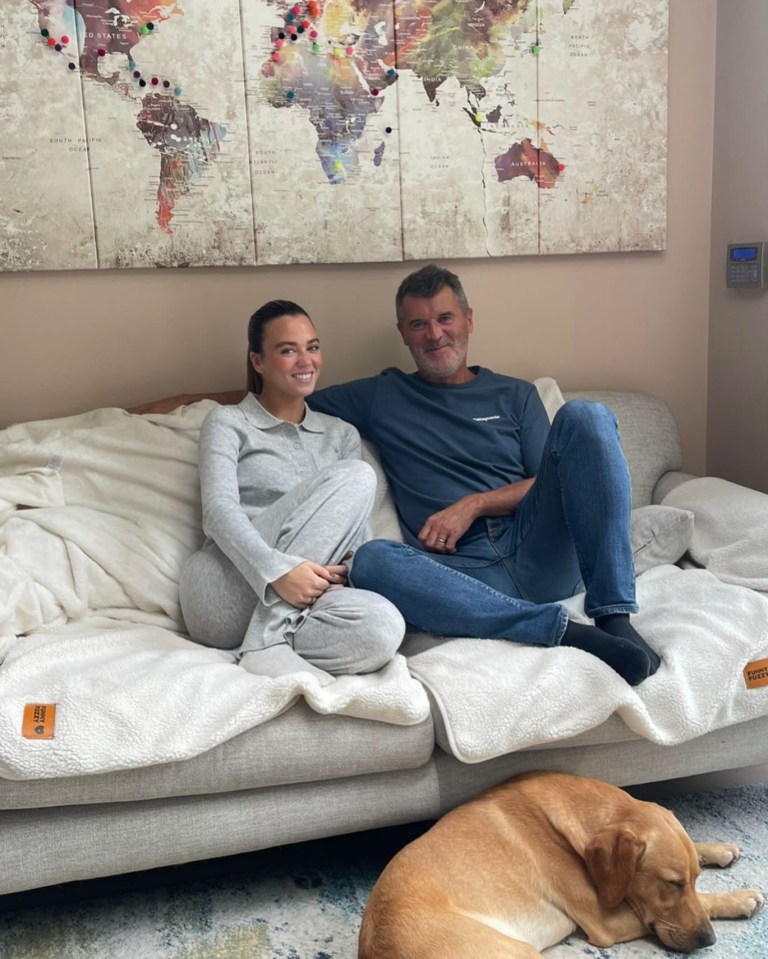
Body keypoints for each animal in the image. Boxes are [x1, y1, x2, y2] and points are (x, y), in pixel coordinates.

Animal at [358, 772, 760, 959]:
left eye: (693, 878)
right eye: (671, 884)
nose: (709, 940)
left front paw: (717, 849)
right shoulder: (606, 922)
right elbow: (701, 903)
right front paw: (739, 898)